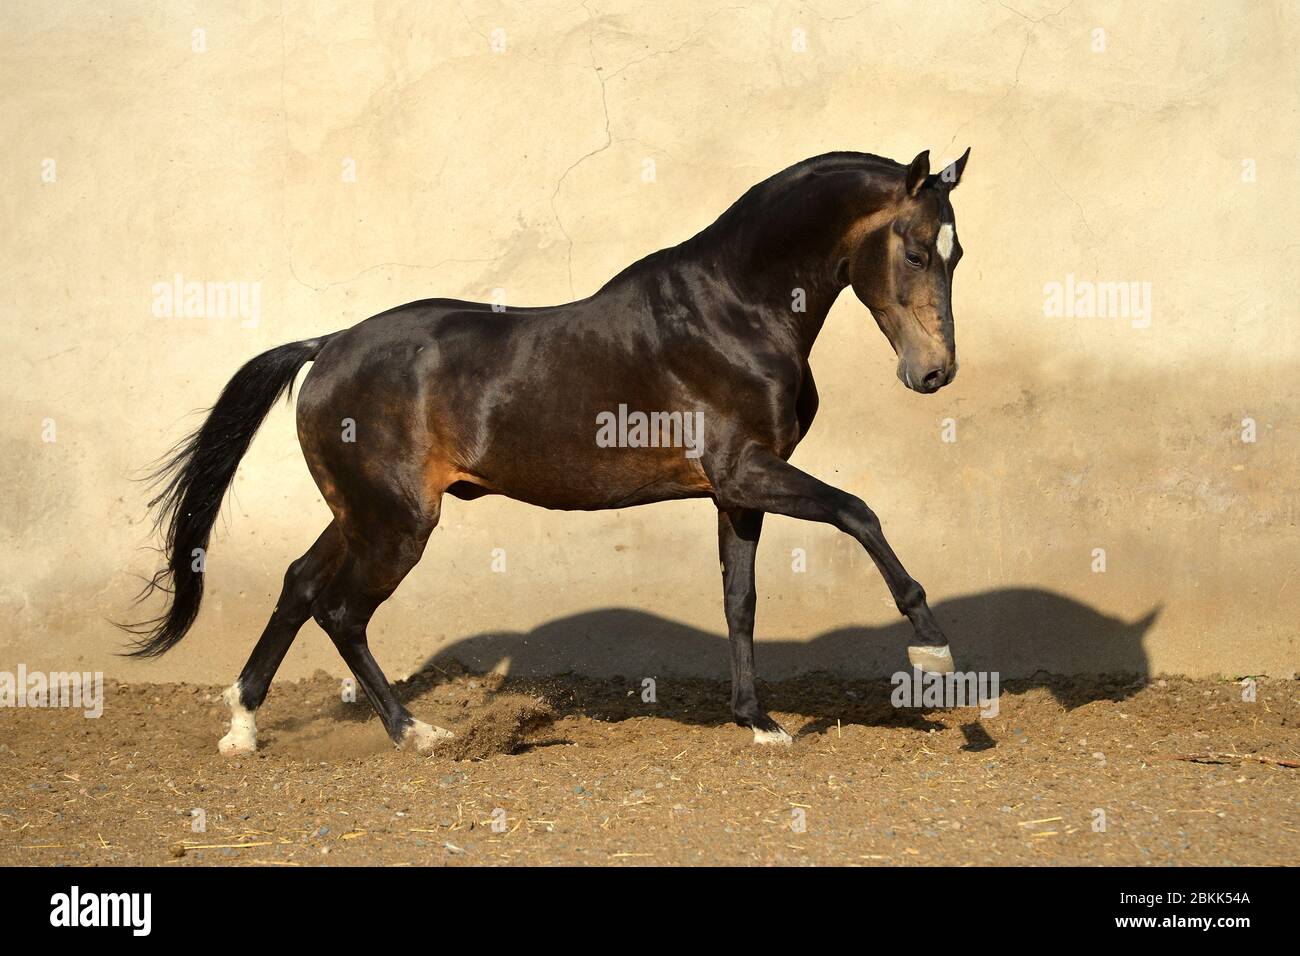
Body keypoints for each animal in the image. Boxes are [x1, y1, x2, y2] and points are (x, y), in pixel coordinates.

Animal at [126, 145, 972, 754]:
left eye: (956, 253)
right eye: (916, 249)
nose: (933, 373)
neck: (732, 310)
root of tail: (326, 346)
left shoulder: (735, 491)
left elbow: (741, 600)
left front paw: (760, 724)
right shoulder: (748, 472)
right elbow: (858, 513)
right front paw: (933, 652)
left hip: (364, 513)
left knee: (300, 585)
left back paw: (243, 728)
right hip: (397, 524)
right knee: (341, 610)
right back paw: (415, 732)